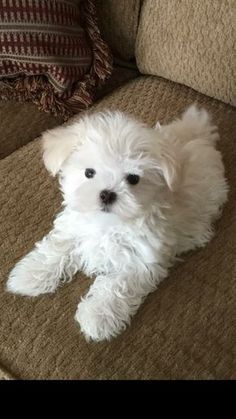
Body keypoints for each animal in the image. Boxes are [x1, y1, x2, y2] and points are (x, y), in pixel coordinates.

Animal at [6, 104, 229, 342]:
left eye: (133, 178)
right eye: (89, 173)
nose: (107, 194)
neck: (107, 223)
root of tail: (197, 133)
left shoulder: (140, 259)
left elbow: (116, 286)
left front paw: (98, 316)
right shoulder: (74, 228)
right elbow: (57, 248)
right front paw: (29, 275)